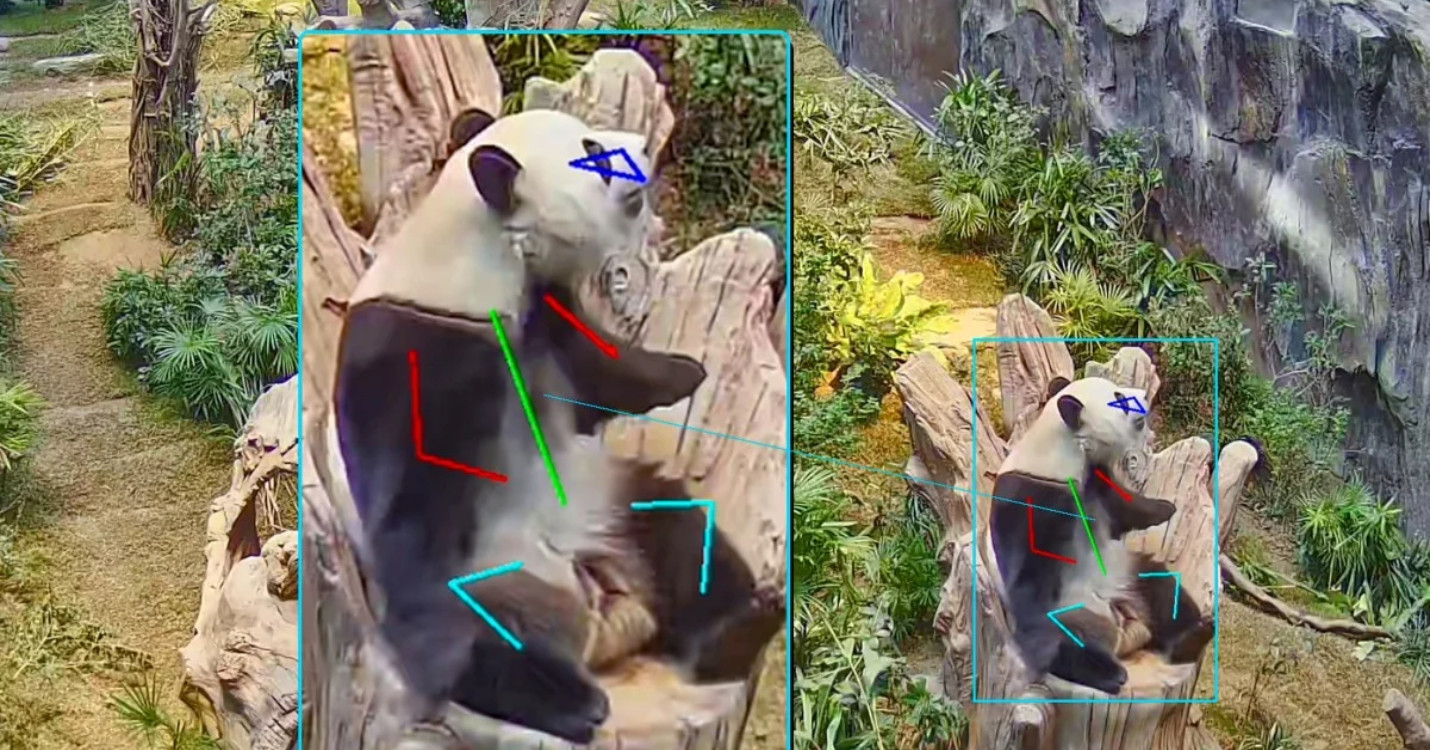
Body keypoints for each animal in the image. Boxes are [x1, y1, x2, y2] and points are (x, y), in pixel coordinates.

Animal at [988, 376, 1214, 695]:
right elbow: (1028, 577)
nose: (1144, 396)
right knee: (1067, 638)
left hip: (1127, 575)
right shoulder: (1033, 498)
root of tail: (1125, 630)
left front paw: (1166, 508)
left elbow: (1127, 508)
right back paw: (1108, 673)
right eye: (1119, 397)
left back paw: (1192, 635)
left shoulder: (1096, 481)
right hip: (1076, 611)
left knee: (1162, 587)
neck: (1063, 449)